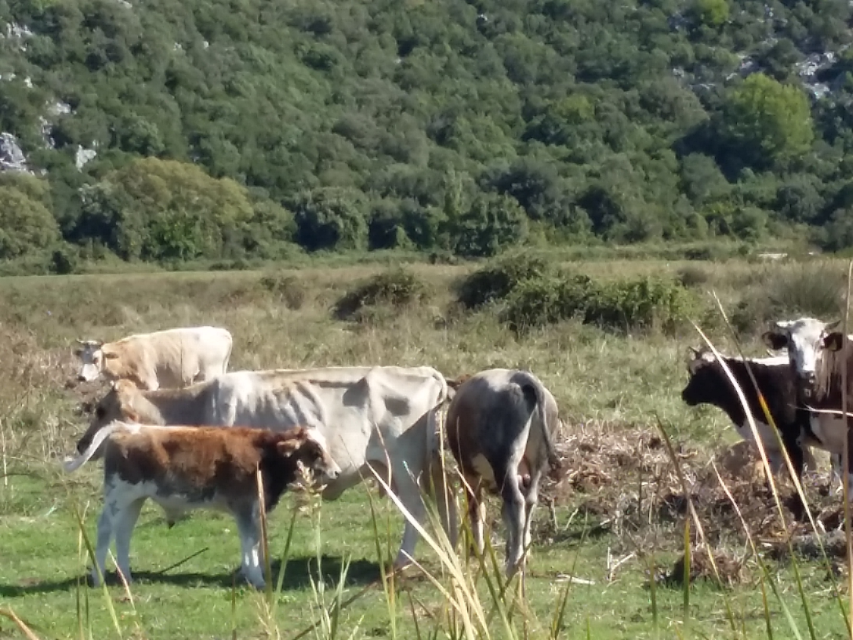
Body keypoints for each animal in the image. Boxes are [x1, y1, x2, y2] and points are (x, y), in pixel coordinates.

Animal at [63, 420, 340, 592]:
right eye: (315, 450)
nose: (336, 471)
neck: (265, 456)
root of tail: (128, 427)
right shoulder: (244, 506)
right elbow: (250, 542)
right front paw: (256, 578)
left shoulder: (251, 509)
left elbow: (252, 542)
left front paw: (250, 574)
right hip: (118, 496)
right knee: (105, 529)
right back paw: (98, 577)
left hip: (133, 500)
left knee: (123, 532)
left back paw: (126, 577)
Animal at [73, 324, 231, 390]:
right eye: (82, 358)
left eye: (96, 359)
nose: (81, 377)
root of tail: (222, 332)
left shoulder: (151, 384)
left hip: (210, 373)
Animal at [442, 368, 564, 576]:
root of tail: (521, 377)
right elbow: (503, 514)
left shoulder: (468, 471)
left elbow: (476, 509)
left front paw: (478, 550)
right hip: (538, 463)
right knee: (529, 501)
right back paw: (523, 555)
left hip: (504, 462)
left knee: (516, 501)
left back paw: (513, 564)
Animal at [680, 344, 840, 500]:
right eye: (689, 369)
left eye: (702, 372)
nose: (684, 394)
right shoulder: (771, 441)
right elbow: (770, 471)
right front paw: (770, 497)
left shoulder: (791, 437)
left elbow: (795, 471)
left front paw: (800, 500)